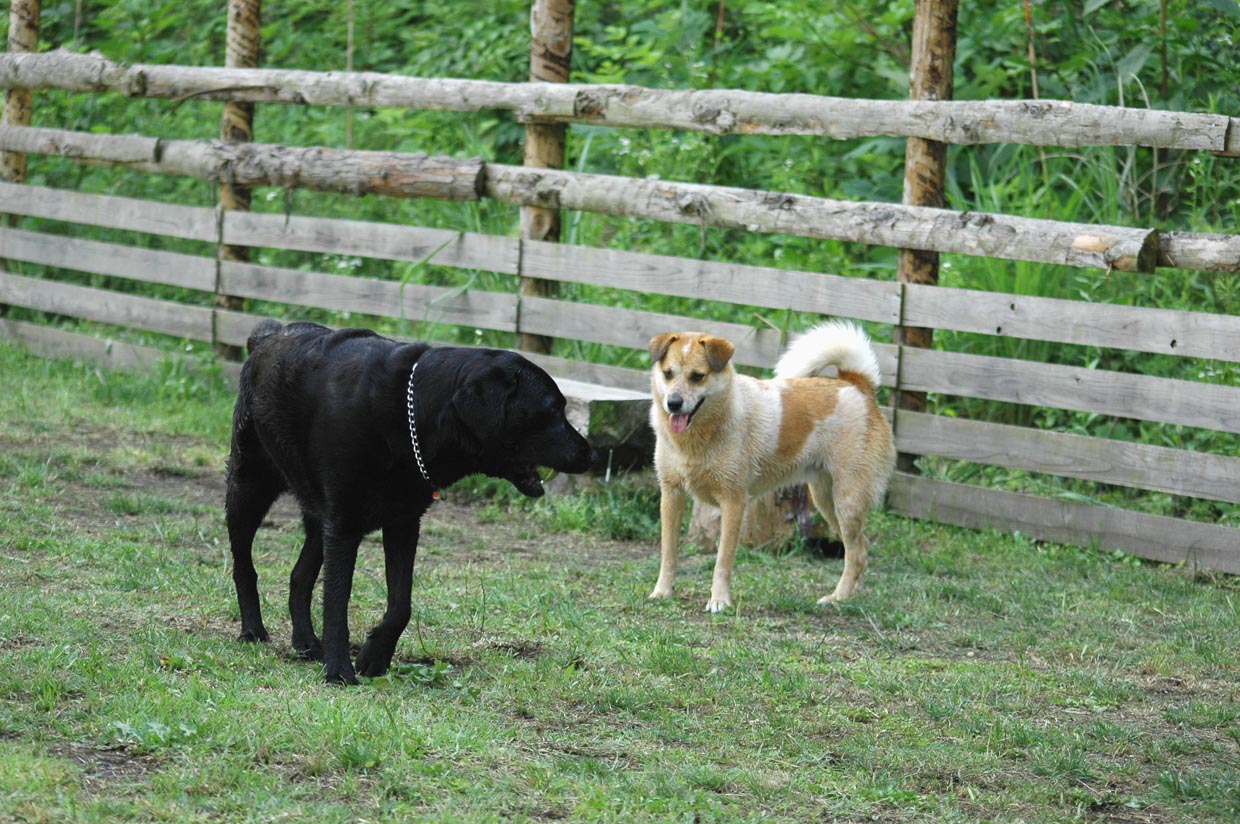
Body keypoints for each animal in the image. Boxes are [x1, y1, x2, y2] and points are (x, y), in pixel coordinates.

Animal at [225, 322, 597, 679]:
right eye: (553, 409)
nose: (592, 455)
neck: (411, 417)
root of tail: (268, 335)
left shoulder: (402, 523)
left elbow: (401, 605)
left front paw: (374, 656)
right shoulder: (344, 525)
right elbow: (337, 602)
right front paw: (339, 670)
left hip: (318, 516)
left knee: (299, 576)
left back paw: (304, 641)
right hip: (248, 488)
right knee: (244, 566)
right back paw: (253, 630)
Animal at [644, 322, 897, 609]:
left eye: (697, 376)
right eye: (668, 373)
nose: (673, 403)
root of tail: (857, 385)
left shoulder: (733, 501)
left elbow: (722, 561)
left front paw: (719, 601)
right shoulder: (671, 494)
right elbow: (668, 553)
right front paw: (662, 592)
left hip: (848, 503)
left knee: (855, 554)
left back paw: (838, 598)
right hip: (826, 500)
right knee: (861, 549)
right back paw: (852, 595)